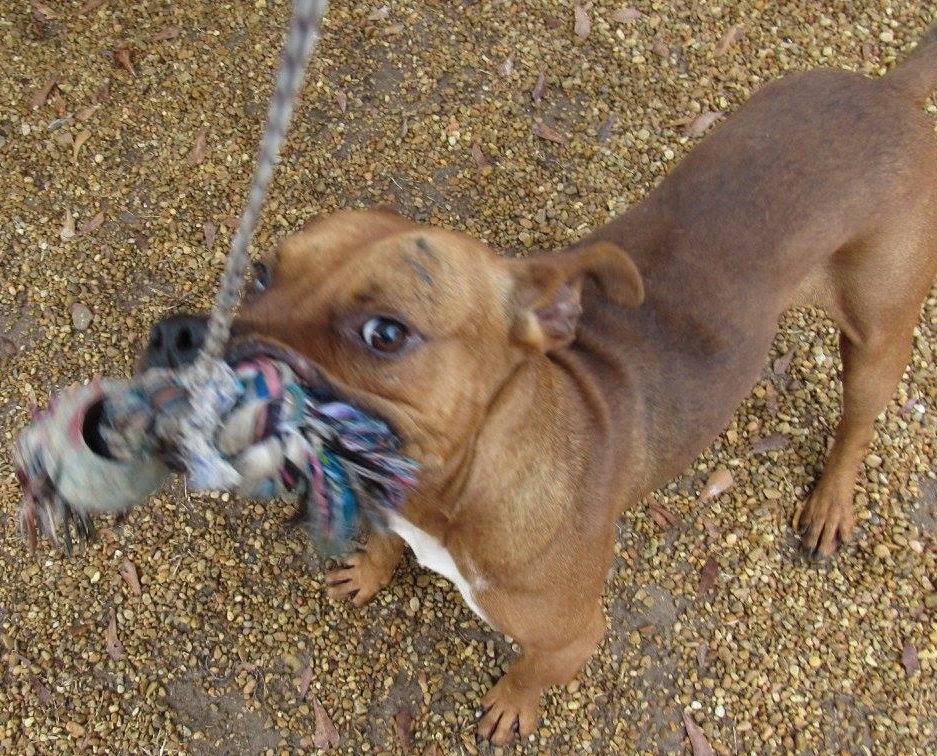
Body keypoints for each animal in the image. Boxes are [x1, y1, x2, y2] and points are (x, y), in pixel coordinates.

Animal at [143, 25, 936, 744]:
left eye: (385, 333)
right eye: (260, 273)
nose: (179, 337)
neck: (456, 493)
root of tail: (888, 92)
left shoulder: (571, 638)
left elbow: (529, 671)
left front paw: (510, 704)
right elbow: (384, 543)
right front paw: (370, 567)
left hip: (877, 339)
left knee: (857, 422)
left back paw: (831, 501)